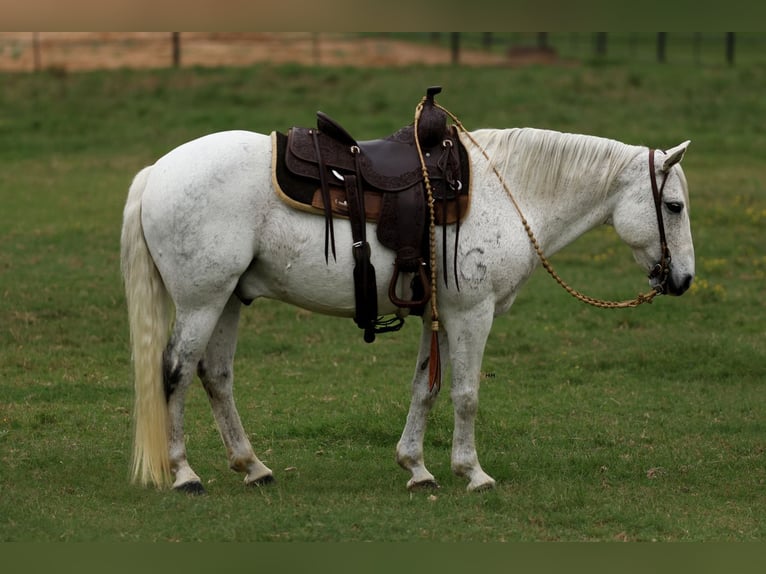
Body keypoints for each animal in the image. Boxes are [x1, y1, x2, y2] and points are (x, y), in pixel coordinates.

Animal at [120, 125, 694, 493]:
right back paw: (184, 474)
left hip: (228, 299)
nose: (684, 279)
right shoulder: (472, 313)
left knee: (215, 375)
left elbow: (426, 388)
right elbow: (465, 394)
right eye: (674, 206)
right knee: (175, 372)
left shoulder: (437, 315)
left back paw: (252, 466)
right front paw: (473, 473)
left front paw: (416, 468)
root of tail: (156, 171)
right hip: (201, 301)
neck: (507, 194)